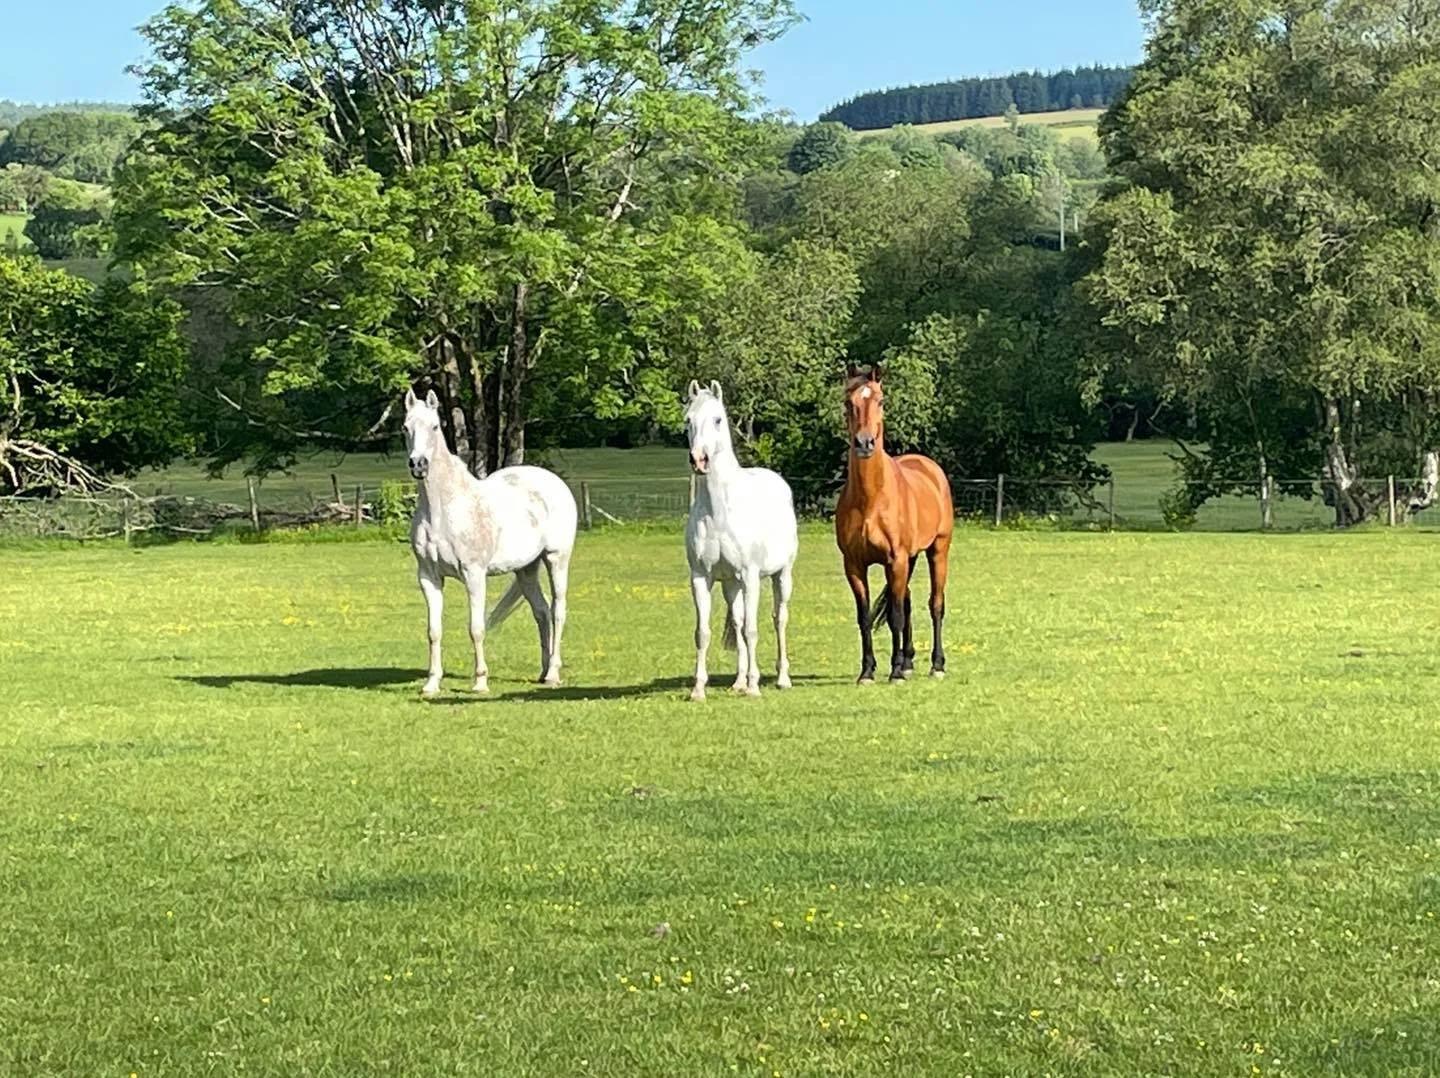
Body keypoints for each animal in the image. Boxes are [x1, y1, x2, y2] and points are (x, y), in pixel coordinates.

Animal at [402, 388, 577, 696]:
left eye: (434, 427)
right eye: (405, 427)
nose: (418, 465)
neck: (442, 510)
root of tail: (555, 482)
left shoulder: (474, 574)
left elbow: (476, 627)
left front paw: (480, 682)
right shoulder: (428, 577)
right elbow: (433, 631)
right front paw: (432, 683)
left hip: (556, 558)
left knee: (557, 611)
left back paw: (554, 674)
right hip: (526, 570)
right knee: (542, 612)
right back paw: (543, 672)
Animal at [684, 380, 798, 700]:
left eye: (717, 419)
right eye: (688, 421)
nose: (699, 460)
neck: (719, 512)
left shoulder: (750, 575)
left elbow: (752, 630)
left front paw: (754, 686)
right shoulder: (701, 577)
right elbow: (704, 632)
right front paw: (698, 689)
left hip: (780, 576)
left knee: (778, 618)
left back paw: (781, 678)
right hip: (731, 584)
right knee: (737, 620)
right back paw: (738, 681)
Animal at [834, 364, 953, 684]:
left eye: (881, 400)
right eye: (848, 402)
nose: (864, 443)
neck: (871, 499)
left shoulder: (895, 559)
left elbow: (896, 616)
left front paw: (896, 671)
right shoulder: (854, 565)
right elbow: (866, 617)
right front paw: (868, 671)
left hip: (937, 551)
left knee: (935, 604)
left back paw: (936, 665)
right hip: (909, 560)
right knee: (907, 601)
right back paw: (909, 660)